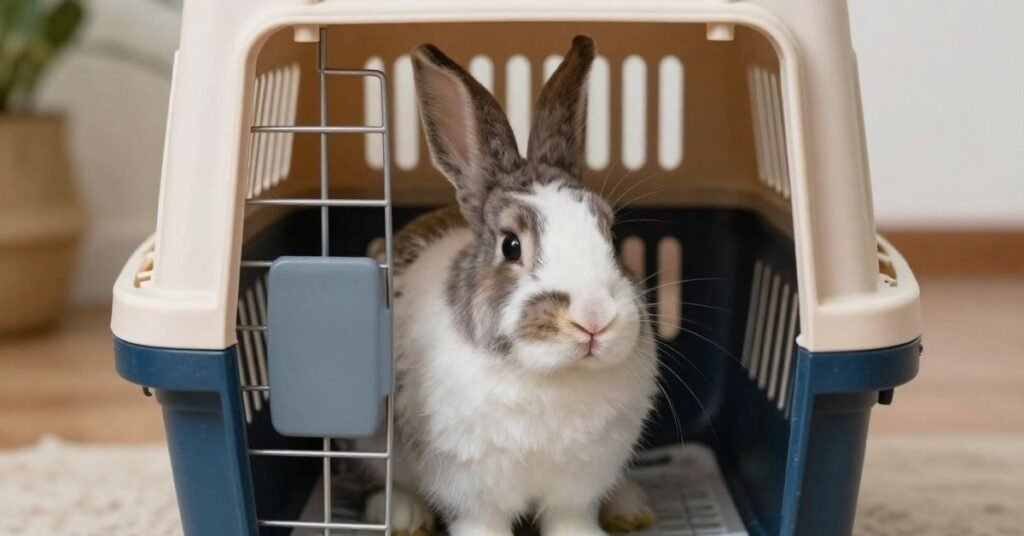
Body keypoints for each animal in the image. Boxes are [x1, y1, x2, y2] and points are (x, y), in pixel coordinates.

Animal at [356, 36, 659, 536]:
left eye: (613, 236)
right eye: (511, 246)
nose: (594, 318)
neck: (551, 377)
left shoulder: (577, 489)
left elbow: (572, 521)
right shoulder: (473, 490)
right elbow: (483, 522)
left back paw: (631, 508)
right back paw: (404, 516)